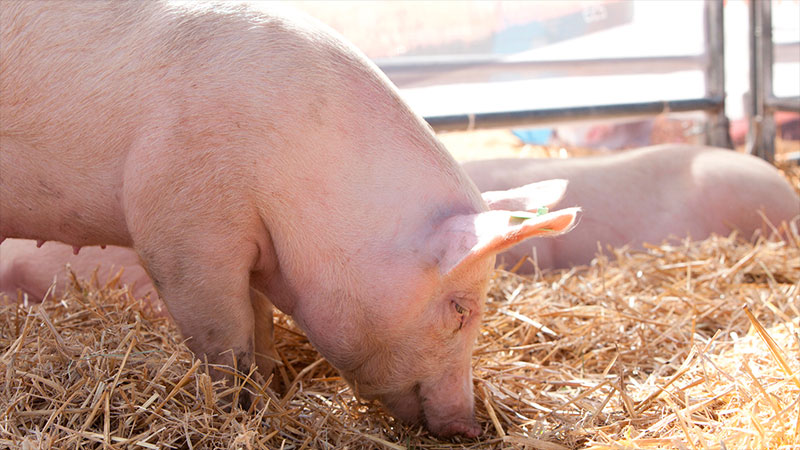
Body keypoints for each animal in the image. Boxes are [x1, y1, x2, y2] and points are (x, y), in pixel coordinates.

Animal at [0, 0, 580, 436]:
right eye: (460, 310)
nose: (469, 426)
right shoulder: (181, 228)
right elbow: (226, 338)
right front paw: (238, 410)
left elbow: (260, 324)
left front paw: (271, 388)